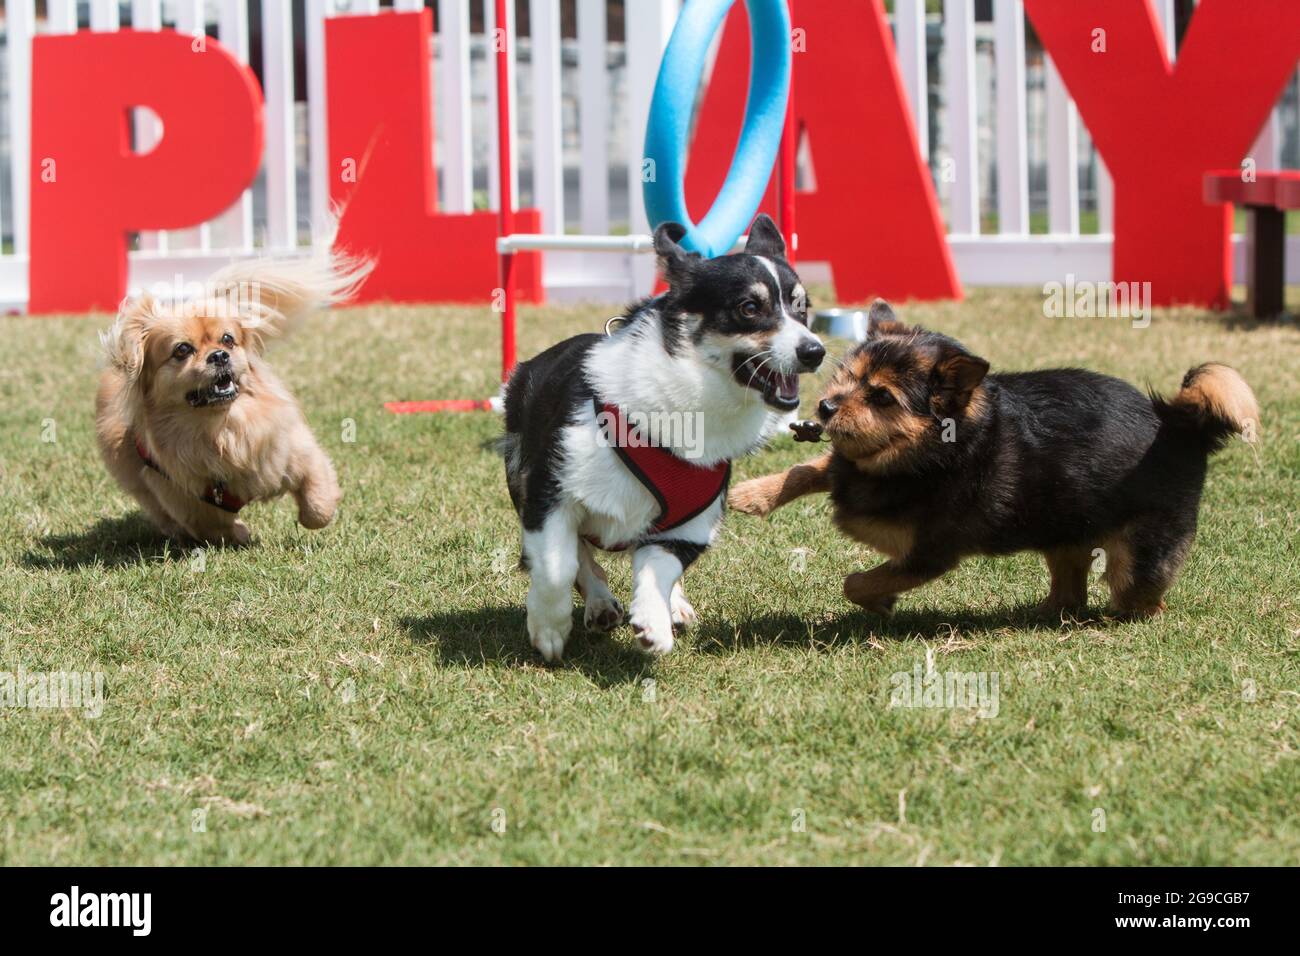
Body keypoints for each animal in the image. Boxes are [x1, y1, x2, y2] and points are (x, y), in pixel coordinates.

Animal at [94, 251, 366, 541]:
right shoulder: (186, 501)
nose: (219, 355)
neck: (223, 427)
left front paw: (314, 515)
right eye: (182, 350)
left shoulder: (296, 452)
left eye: (227, 340)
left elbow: (317, 506)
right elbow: (214, 526)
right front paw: (242, 533)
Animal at [496, 213, 821, 660]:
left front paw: (654, 623)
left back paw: (672, 607)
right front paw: (548, 627)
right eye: (749, 308)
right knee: (580, 555)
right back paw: (598, 603)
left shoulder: (690, 522)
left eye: (801, 309)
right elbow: (558, 565)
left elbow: (659, 568)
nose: (815, 352)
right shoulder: (549, 493)